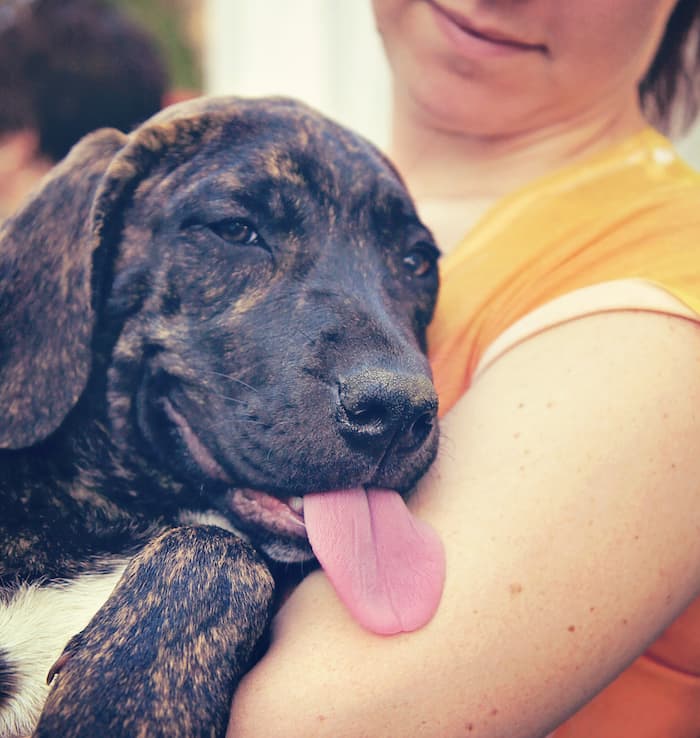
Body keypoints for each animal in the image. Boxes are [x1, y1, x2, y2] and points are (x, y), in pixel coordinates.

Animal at [0, 98, 442, 736]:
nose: (399, 409)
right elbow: (218, 545)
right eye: (235, 230)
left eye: (417, 261)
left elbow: (220, 550)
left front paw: (121, 699)